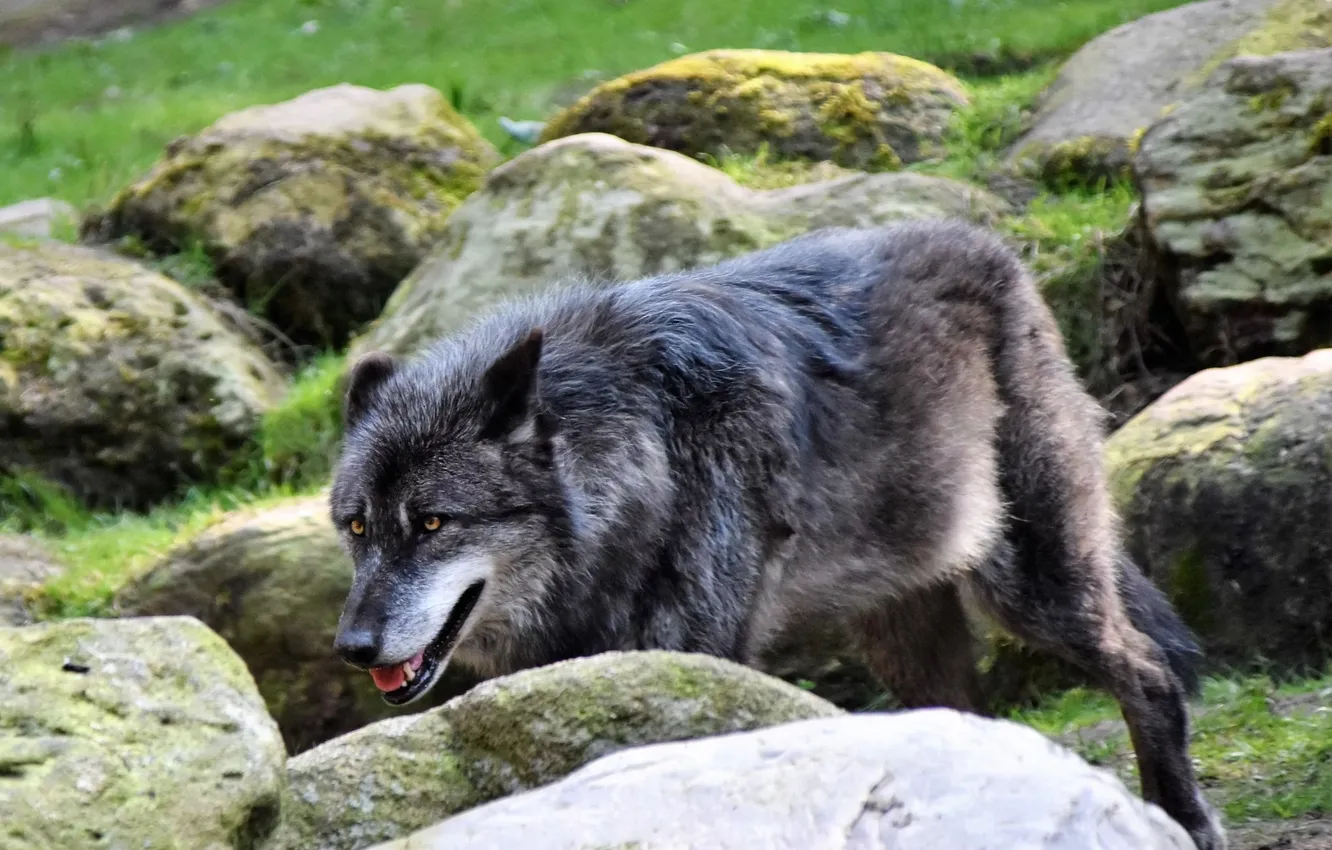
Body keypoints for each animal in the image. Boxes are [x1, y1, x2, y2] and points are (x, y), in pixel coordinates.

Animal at [330, 219, 1224, 850]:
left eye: (434, 523)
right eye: (357, 526)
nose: (352, 646)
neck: (643, 460)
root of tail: (994, 249)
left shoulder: (697, 658)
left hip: (1031, 585)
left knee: (1147, 671)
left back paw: (1185, 818)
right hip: (904, 635)